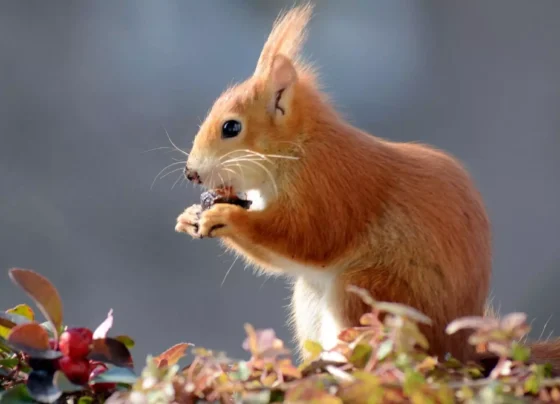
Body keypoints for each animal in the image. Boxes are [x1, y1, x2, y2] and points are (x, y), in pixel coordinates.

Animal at [175, 2, 560, 370]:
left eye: (231, 128)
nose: (191, 173)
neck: (299, 147)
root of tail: (460, 352)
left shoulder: (329, 186)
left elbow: (307, 237)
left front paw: (226, 218)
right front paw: (190, 216)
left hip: (368, 292)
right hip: (312, 297)